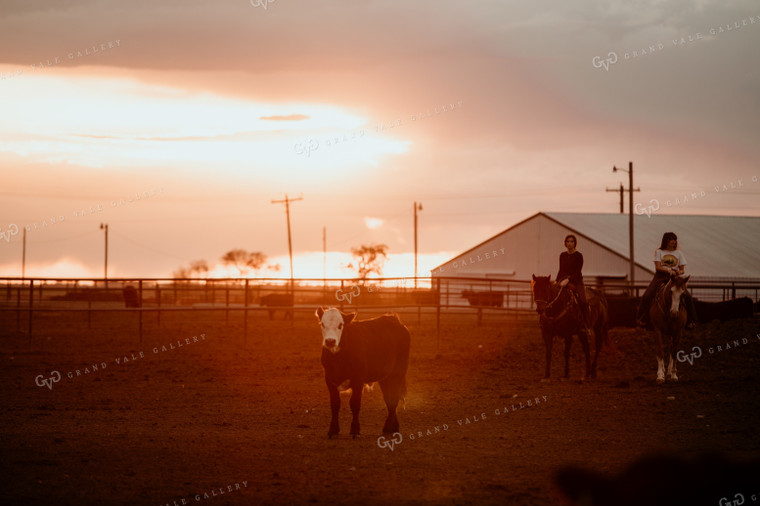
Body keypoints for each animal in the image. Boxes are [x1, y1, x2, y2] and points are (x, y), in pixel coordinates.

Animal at [314, 306, 410, 436]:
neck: (338, 359)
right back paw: (393, 427)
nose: (330, 341)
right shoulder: (329, 379)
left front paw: (355, 429)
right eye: (322, 324)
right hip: (385, 377)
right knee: (389, 399)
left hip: (398, 372)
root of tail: (395, 320)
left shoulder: (358, 380)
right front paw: (333, 429)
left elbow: (355, 403)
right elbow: (335, 404)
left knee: (394, 399)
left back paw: (388, 428)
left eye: (340, 325)